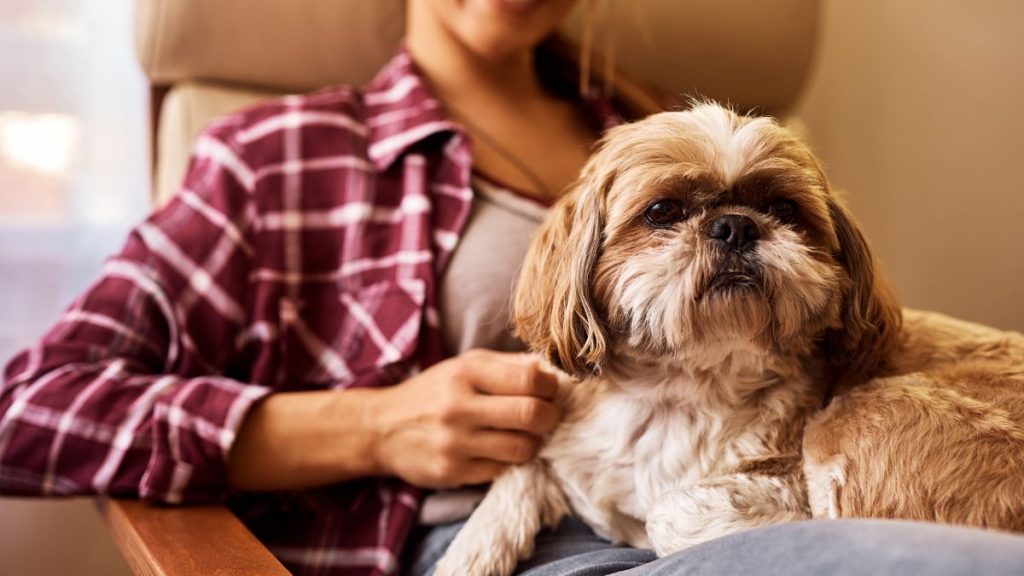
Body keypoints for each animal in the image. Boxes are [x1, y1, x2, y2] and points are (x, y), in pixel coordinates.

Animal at [432, 100, 1024, 569]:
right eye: (662, 210)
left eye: (784, 208)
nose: (736, 224)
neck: (679, 389)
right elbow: (520, 469)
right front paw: (469, 554)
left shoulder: (776, 472)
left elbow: (667, 514)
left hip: (857, 418)